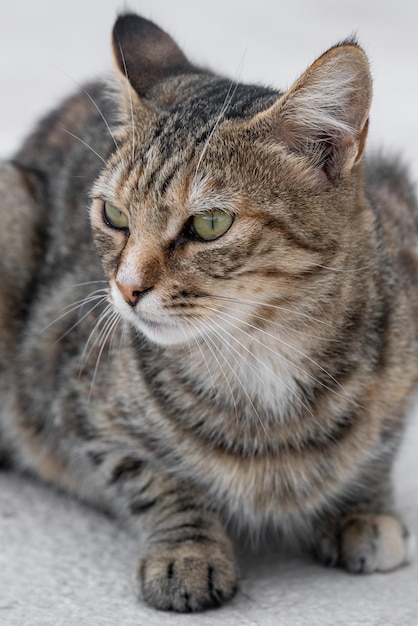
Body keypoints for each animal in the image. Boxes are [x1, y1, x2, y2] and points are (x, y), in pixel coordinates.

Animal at [0, 11, 418, 608]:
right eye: (113, 215)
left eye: (210, 224)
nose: (126, 288)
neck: (262, 359)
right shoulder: (79, 401)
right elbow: (154, 478)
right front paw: (188, 551)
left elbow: (380, 444)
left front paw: (363, 507)